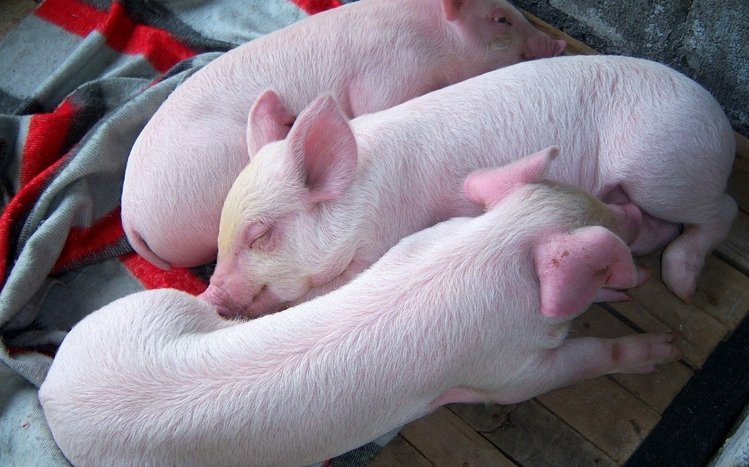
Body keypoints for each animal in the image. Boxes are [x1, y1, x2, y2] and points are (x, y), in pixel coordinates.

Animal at [39, 152, 680, 466]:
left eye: (593, 196)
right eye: (606, 259)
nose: (635, 213)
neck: (492, 245)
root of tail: (52, 391)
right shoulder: (506, 370)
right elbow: (577, 362)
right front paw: (660, 350)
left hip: (148, 311)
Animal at [203, 54, 737, 317]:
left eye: (260, 235)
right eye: (221, 233)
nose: (209, 294)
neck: (365, 196)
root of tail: (719, 121)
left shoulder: (380, 242)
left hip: (662, 170)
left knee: (723, 209)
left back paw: (681, 285)